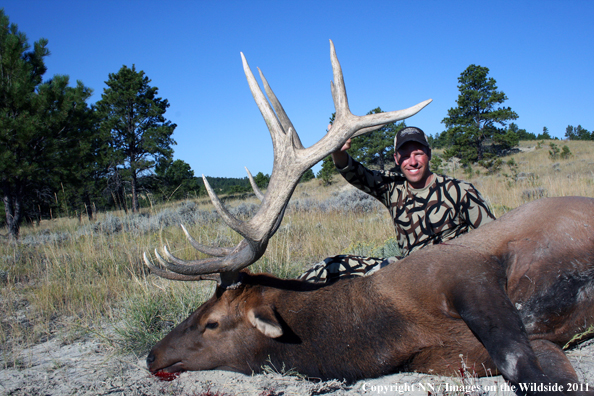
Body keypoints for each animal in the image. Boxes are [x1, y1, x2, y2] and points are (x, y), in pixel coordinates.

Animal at [143, 41, 592, 394]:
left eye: (212, 322)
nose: (151, 355)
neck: (388, 330)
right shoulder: (455, 357)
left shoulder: (468, 272)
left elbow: (519, 363)